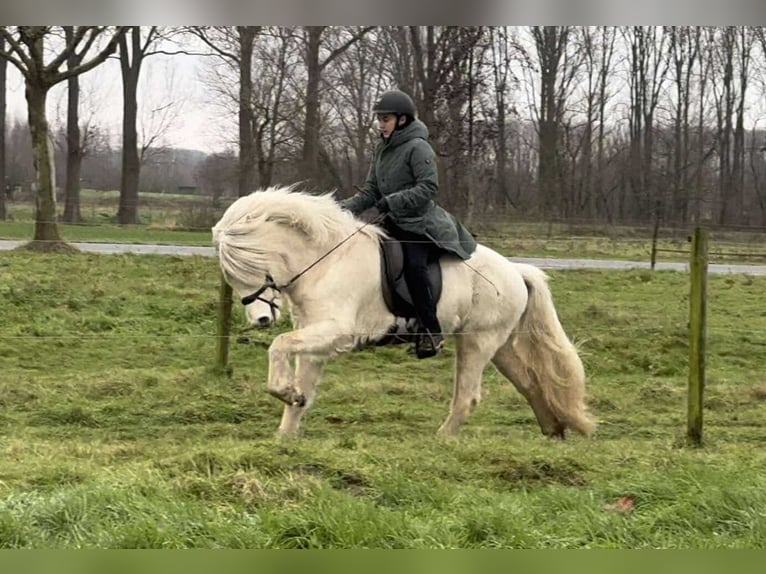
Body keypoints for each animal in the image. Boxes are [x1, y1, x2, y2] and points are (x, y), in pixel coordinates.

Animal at [213, 187, 596, 438]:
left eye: (251, 266)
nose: (261, 319)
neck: (325, 261)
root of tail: (516, 272)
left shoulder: (337, 331)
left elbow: (278, 345)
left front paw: (284, 392)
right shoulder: (315, 337)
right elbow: (301, 386)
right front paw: (286, 432)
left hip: (478, 342)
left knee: (468, 396)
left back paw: (442, 440)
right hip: (497, 345)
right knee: (528, 382)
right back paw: (554, 430)